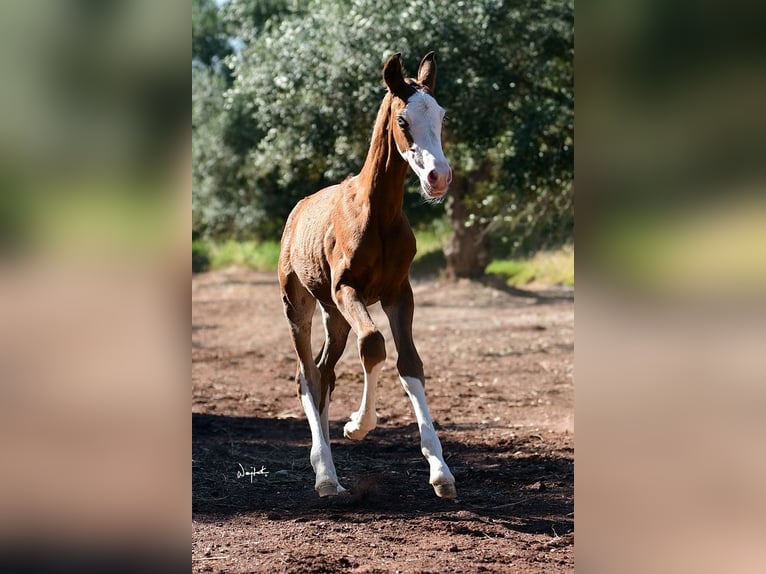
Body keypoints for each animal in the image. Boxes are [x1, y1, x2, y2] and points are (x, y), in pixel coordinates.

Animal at [280, 53, 456, 500]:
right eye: (403, 120)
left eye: (442, 116)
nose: (439, 177)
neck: (379, 215)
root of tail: (297, 209)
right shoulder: (348, 289)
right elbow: (375, 345)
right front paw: (357, 426)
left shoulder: (399, 294)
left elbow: (410, 362)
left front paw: (440, 471)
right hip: (300, 305)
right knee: (306, 374)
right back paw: (326, 475)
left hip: (335, 316)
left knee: (324, 372)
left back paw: (327, 469)